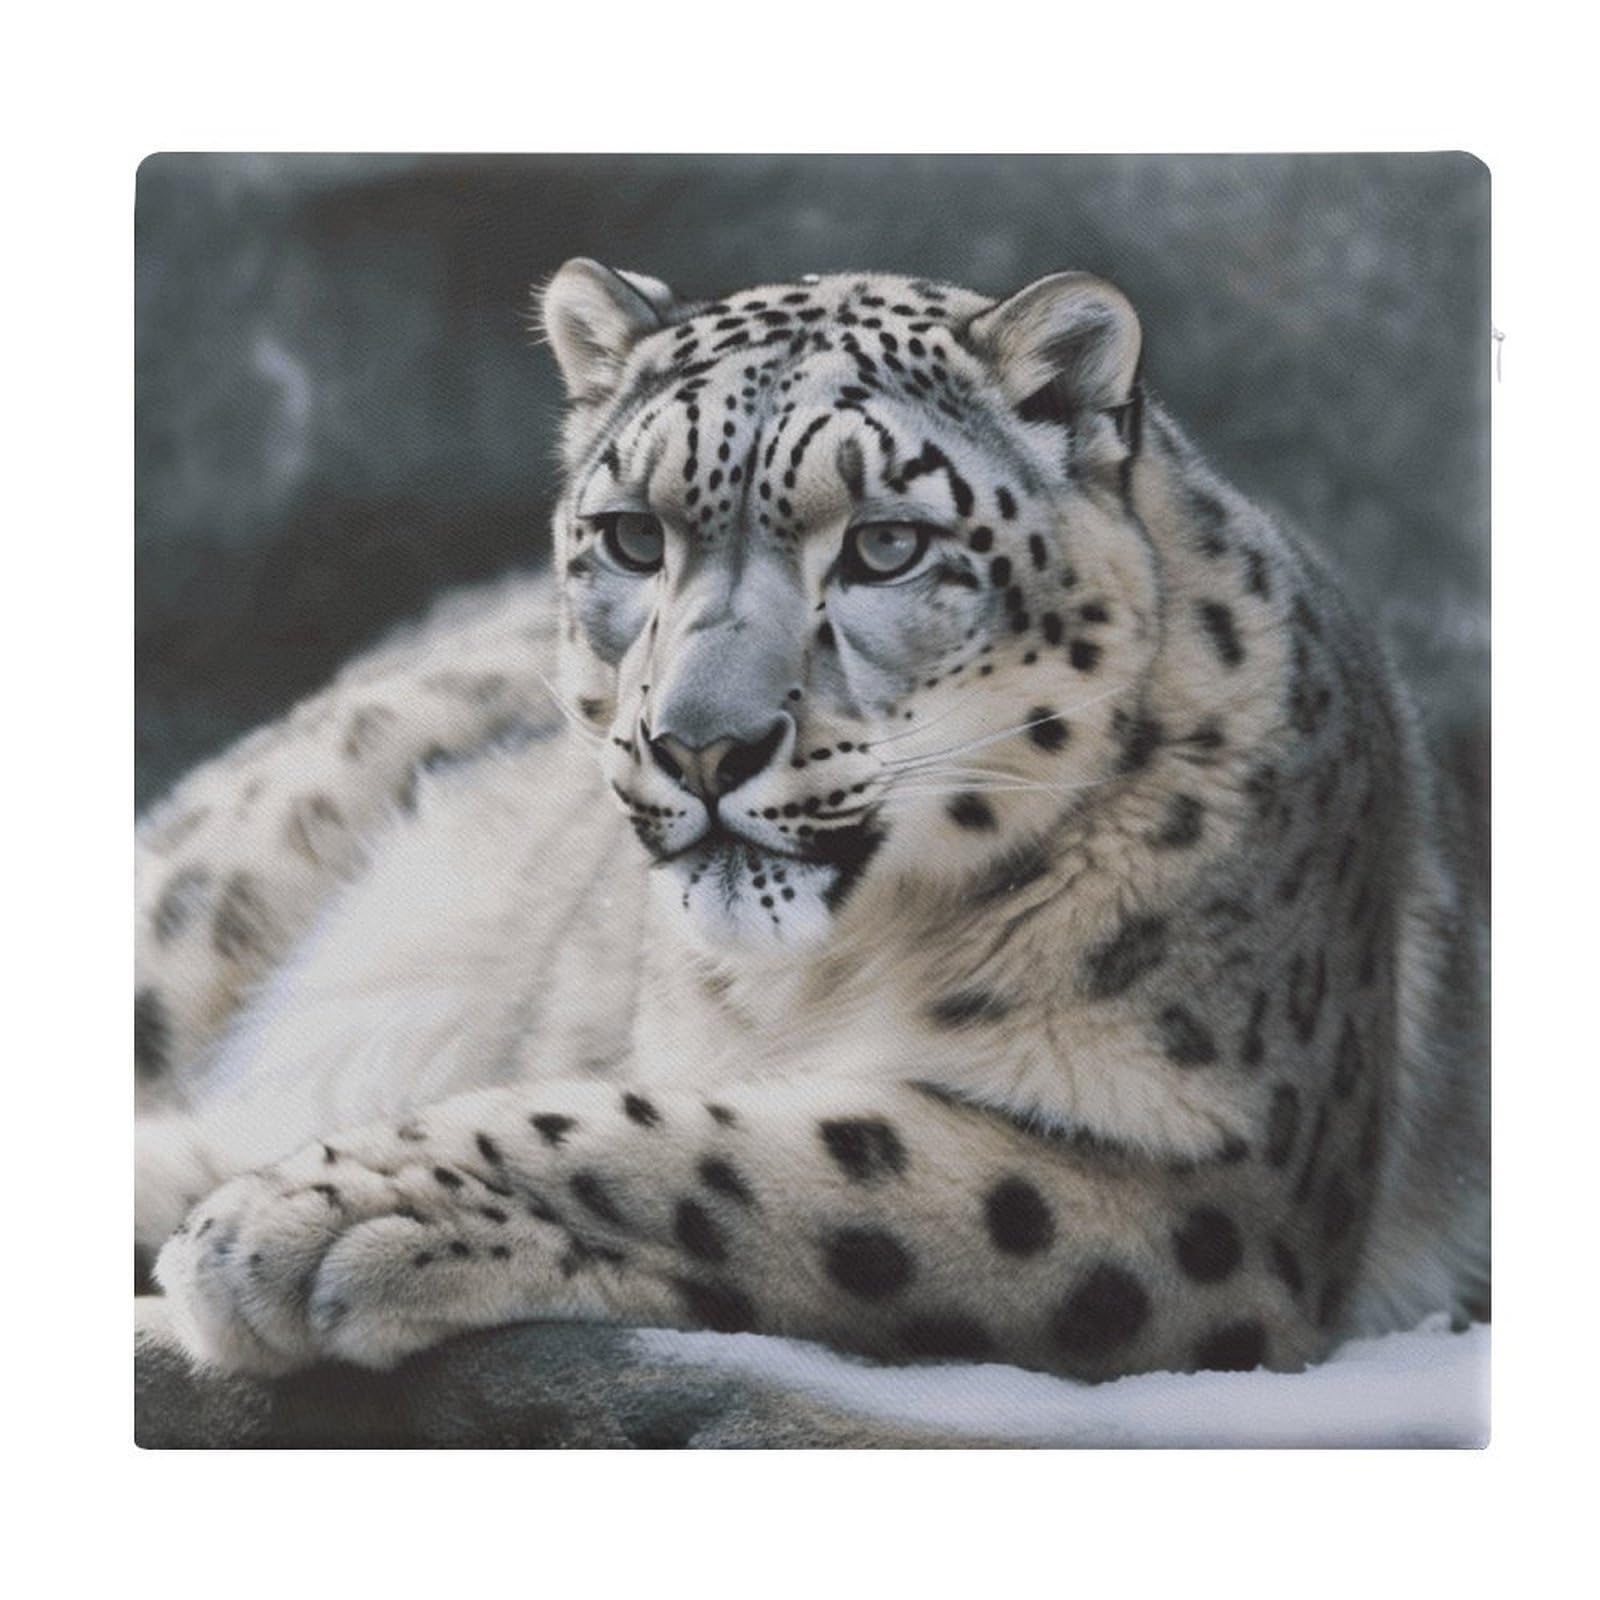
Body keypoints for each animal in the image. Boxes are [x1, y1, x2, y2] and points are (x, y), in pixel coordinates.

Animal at [137, 259, 1488, 1384]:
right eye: (632, 534)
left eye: (887, 544)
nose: (701, 743)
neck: (830, 972)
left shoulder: (1213, 1187)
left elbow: (743, 1157)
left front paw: (305, 1219)